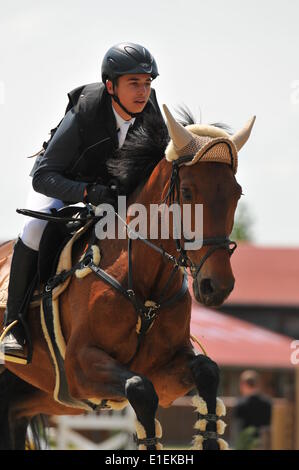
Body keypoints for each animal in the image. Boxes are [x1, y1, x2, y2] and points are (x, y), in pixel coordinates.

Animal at [0, 104, 255, 450]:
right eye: (187, 192)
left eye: (236, 194)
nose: (217, 286)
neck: (145, 289)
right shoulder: (80, 365)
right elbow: (139, 388)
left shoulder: (167, 371)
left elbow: (207, 371)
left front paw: (210, 438)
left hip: (27, 399)